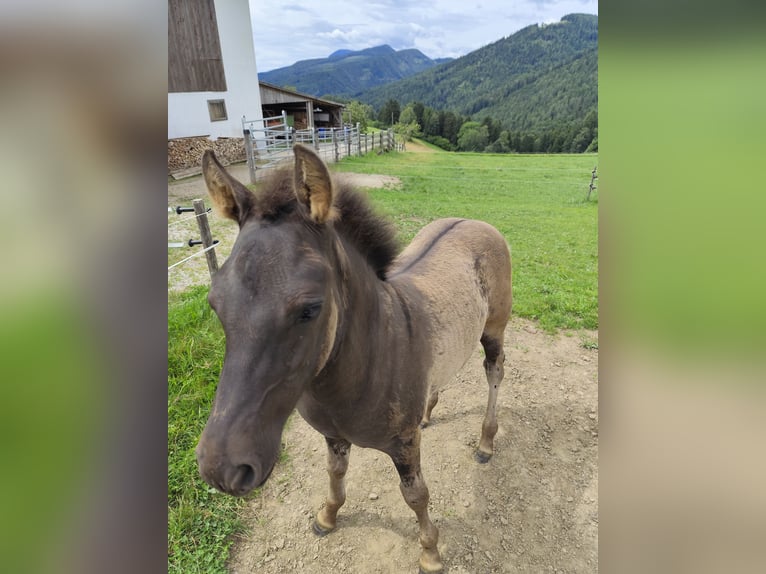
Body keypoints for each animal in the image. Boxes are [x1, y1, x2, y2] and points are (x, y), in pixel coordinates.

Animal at [195, 145, 512, 574]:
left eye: (310, 309)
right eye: (215, 303)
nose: (222, 470)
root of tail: (475, 221)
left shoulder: (403, 446)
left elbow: (416, 495)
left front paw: (430, 552)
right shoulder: (333, 435)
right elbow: (334, 474)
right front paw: (327, 517)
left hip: (493, 329)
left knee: (494, 373)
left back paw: (486, 442)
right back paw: (428, 413)